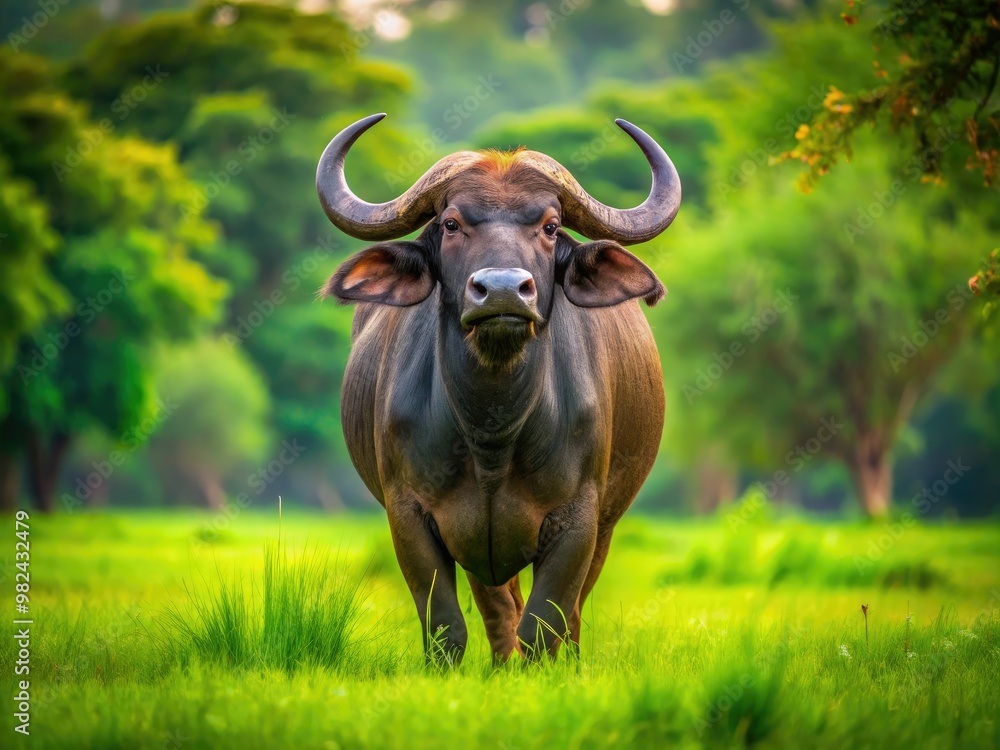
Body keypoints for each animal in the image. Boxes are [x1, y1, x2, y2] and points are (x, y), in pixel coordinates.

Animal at [317, 113, 681, 663]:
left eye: (550, 227)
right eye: (451, 224)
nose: (504, 290)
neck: (492, 430)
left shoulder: (580, 520)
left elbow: (546, 625)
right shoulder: (411, 516)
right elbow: (448, 627)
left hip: (607, 524)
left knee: (569, 616)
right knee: (500, 611)